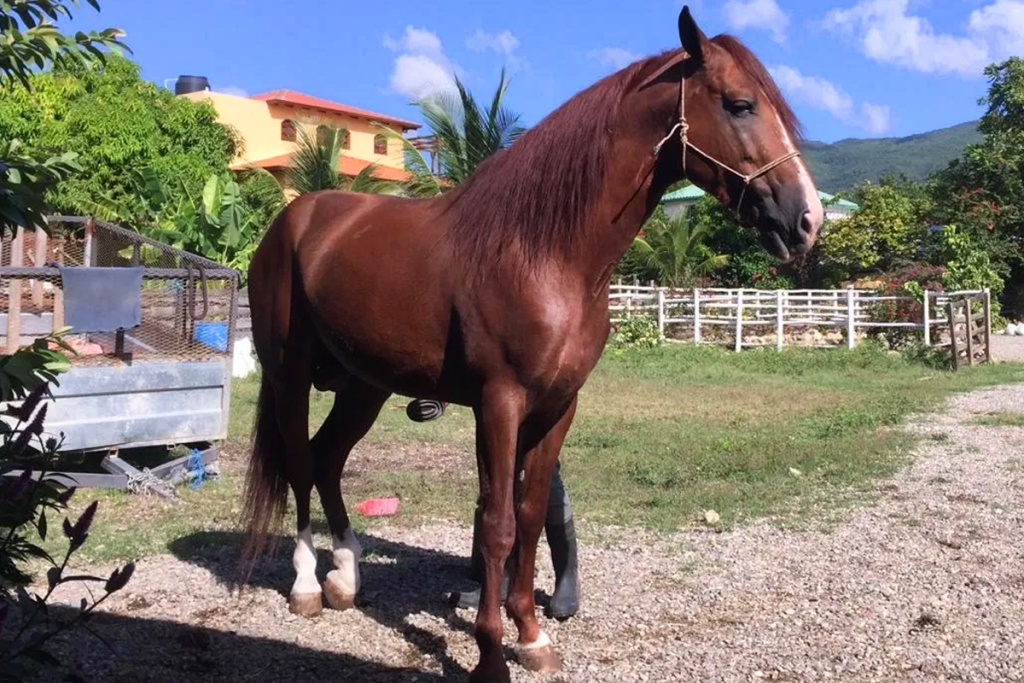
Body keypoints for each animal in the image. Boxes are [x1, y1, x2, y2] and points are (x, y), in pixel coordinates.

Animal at [242, 7, 823, 682]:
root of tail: (292, 220)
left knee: (328, 458)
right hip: (290, 374)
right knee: (300, 462)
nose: (807, 219)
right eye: (738, 104)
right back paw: (309, 585)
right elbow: (495, 524)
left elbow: (529, 514)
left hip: (364, 386)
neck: (544, 253)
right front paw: (491, 653)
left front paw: (530, 634)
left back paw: (346, 577)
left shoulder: (557, 407)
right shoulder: (500, 402)